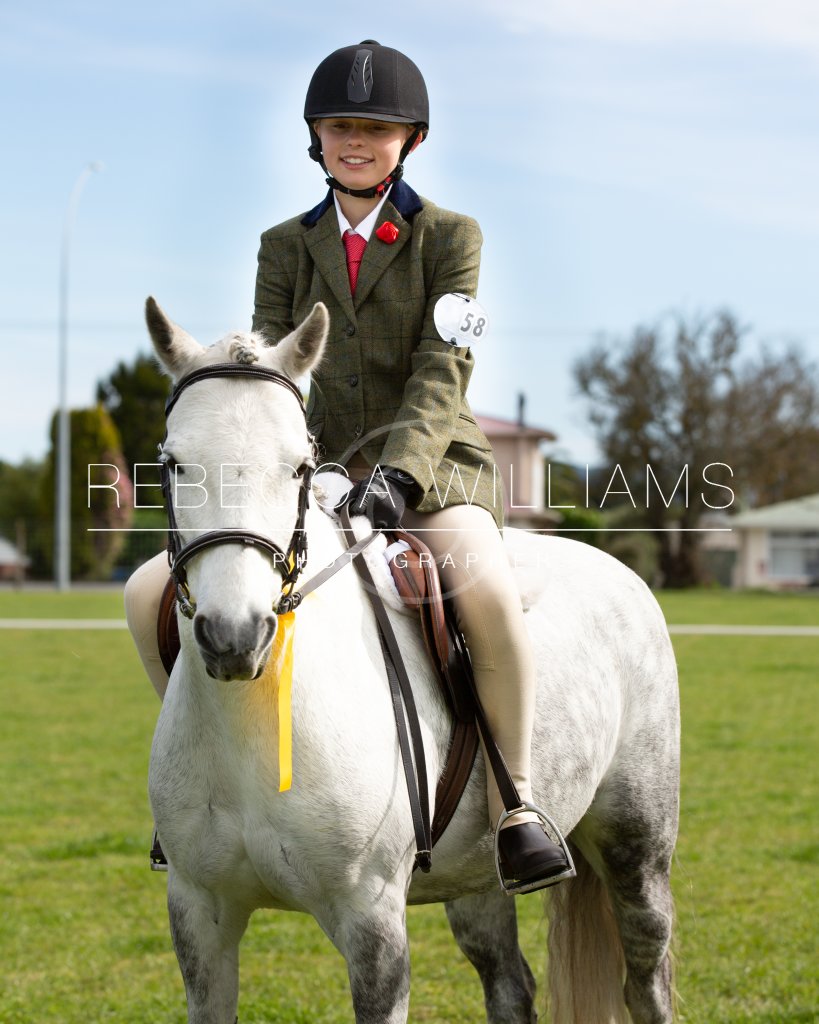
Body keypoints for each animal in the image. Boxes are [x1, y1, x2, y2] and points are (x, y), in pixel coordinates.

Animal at [143, 296, 680, 1024]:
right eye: (174, 463)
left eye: (299, 467)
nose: (234, 636)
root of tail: (617, 570)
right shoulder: (199, 914)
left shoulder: (372, 921)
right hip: (477, 874)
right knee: (510, 982)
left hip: (637, 848)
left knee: (645, 980)